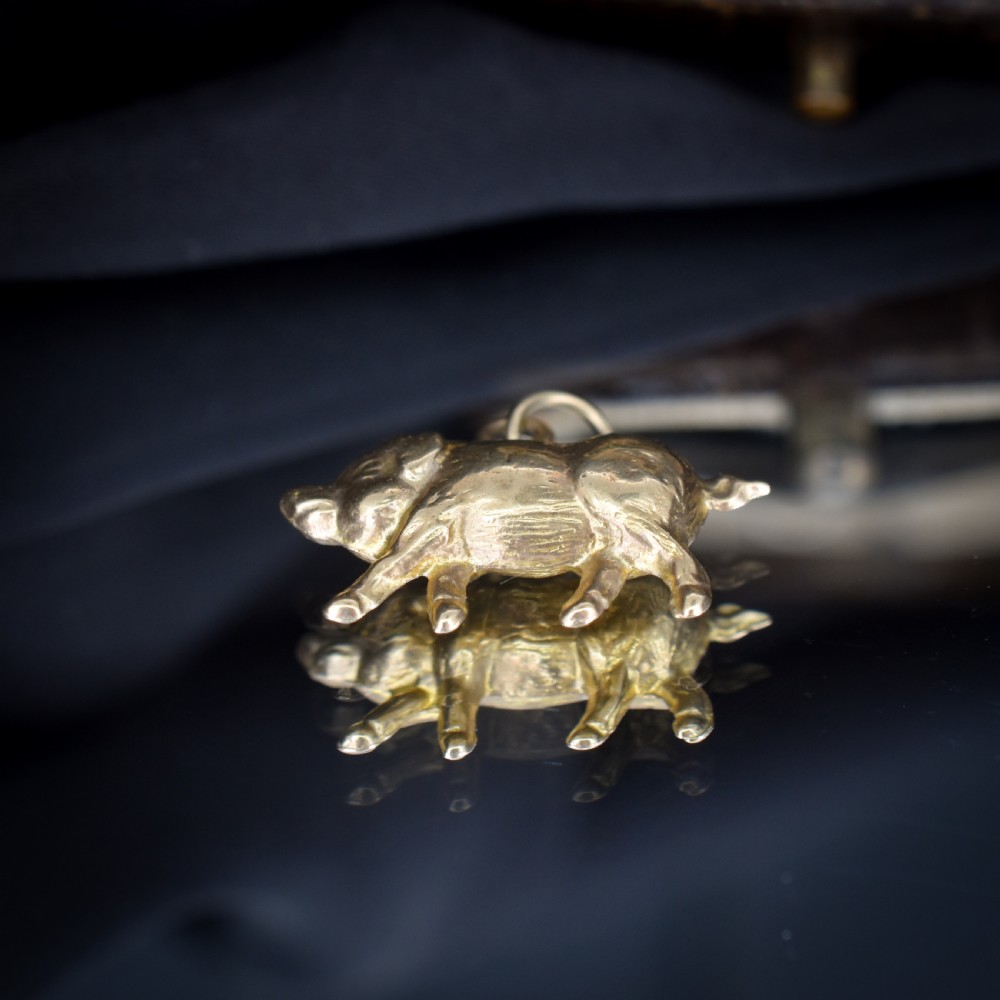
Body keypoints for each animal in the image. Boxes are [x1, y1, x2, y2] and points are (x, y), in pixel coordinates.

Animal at [282, 430, 769, 635]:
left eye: (365, 474)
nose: (291, 498)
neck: (425, 491)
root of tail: (697, 484)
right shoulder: (453, 555)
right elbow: (443, 586)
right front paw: (446, 623)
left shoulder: (435, 523)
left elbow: (385, 569)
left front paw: (340, 610)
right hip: (616, 542)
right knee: (611, 573)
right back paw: (573, 618)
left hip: (620, 501)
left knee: (680, 557)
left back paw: (688, 607)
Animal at [298, 575, 772, 760]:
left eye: (385, 635)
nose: (311, 649)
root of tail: (699, 622)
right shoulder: (420, 691)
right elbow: (391, 711)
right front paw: (354, 741)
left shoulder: (462, 669)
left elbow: (455, 707)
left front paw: (456, 748)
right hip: (651, 667)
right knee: (677, 690)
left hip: (612, 651)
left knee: (622, 691)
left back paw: (585, 740)